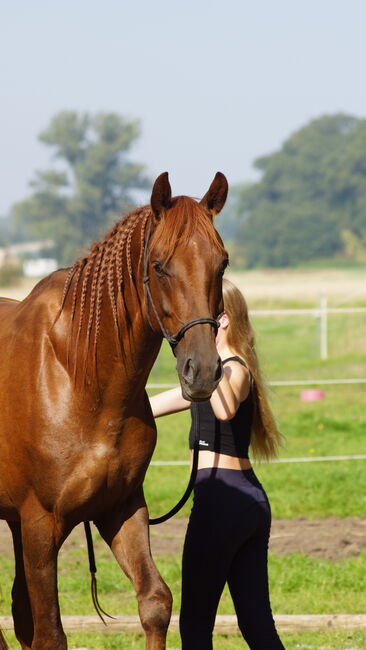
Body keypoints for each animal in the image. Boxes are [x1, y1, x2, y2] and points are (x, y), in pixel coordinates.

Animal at [0, 171, 229, 648]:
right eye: (159, 266)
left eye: (222, 263)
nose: (202, 372)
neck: (80, 379)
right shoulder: (38, 524)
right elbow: (50, 632)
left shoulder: (120, 508)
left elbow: (155, 603)